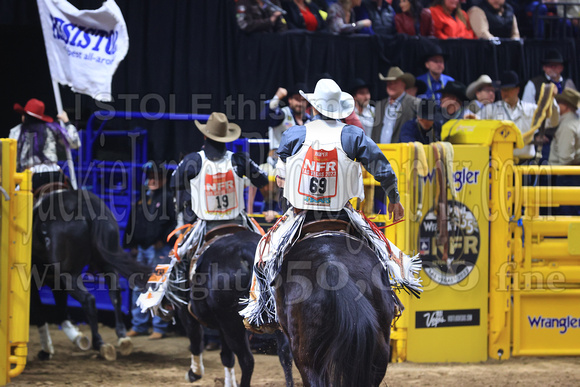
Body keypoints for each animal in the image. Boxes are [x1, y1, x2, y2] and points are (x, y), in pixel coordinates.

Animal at [30, 189, 151, 362]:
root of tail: (83, 204)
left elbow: (40, 312)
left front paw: (46, 350)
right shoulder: (54, 282)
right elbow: (60, 308)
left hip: (69, 275)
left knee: (89, 300)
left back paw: (99, 343)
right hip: (106, 264)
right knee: (115, 294)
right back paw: (122, 338)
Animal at [165, 230, 292, 387]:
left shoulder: (186, 313)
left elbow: (196, 341)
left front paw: (194, 373)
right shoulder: (221, 327)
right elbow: (227, 356)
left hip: (231, 323)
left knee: (247, 361)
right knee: (285, 354)